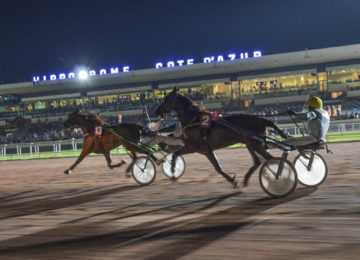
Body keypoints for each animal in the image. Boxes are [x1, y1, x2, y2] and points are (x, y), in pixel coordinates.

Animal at [155, 87, 286, 187]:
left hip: (256, 144)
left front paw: (172, 171)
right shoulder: (206, 151)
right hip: (250, 143)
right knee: (258, 161)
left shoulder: (192, 147)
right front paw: (233, 181)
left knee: (271, 159)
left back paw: (278, 177)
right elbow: (218, 168)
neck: (193, 119)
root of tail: (260, 119)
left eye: (166, 98)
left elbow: (175, 154)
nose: (156, 111)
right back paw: (247, 179)